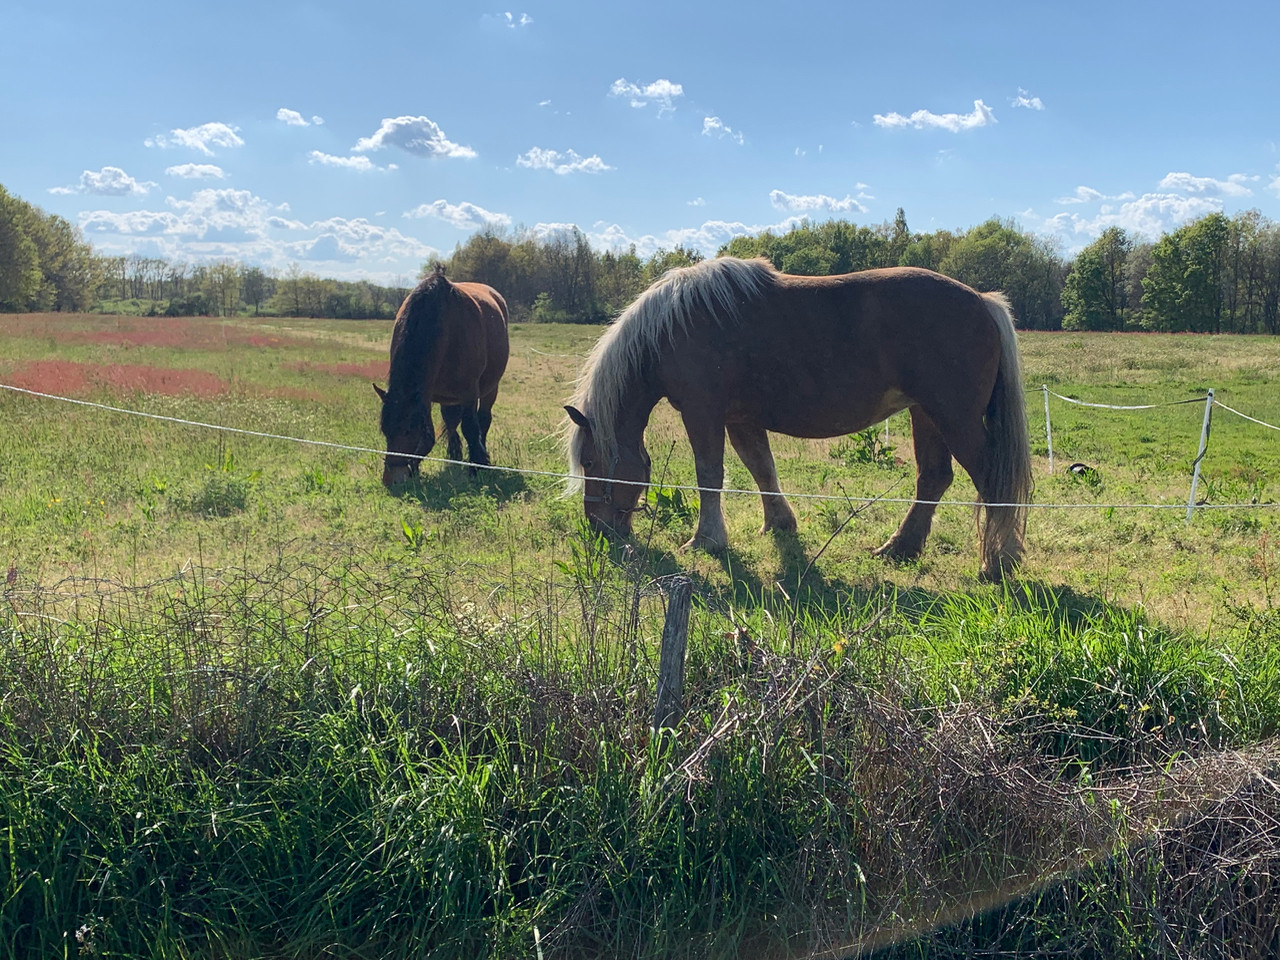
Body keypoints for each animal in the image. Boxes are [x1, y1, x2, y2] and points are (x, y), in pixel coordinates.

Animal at [374, 265, 509, 486]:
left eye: (408, 431)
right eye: (385, 431)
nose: (391, 479)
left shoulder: (469, 394)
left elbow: (471, 428)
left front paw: (477, 466)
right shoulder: (427, 396)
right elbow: (439, 429)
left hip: (490, 389)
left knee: (483, 419)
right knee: (451, 421)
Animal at [563, 257, 1033, 580]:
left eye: (589, 462)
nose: (598, 529)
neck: (671, 328)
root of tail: (984, 302)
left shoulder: (703, 414)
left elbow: (709, 474)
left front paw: (706, 539)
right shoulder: (741, 418)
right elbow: (761, 468)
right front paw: (779, 524)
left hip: (955, 418)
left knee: (991, 480)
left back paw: (999, 561)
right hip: (927, 415)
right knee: (934, 478)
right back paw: (900, 548)